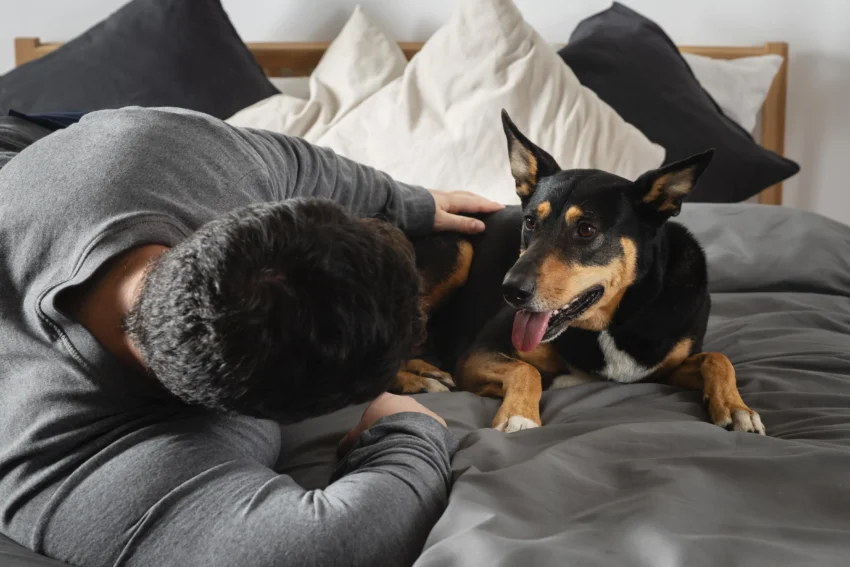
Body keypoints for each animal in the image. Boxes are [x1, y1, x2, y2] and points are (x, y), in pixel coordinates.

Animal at [394, 112, 764, 440]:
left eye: (586, 230)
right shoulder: (476, 353)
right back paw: (421, 379)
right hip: (458, 251)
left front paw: (736, 408)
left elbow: (717, 358)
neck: (614, 320)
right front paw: (519, 416)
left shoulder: (666, 368)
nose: (510, 292)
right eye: (530, 222)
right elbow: (526, 369)